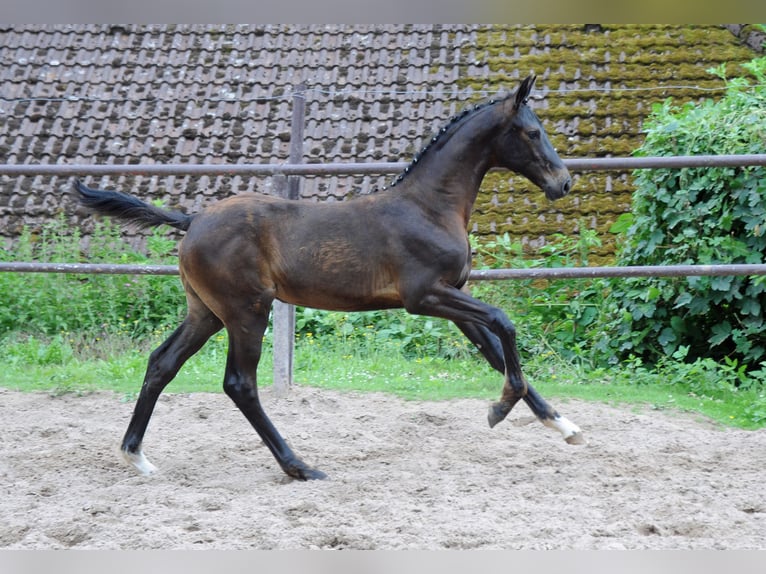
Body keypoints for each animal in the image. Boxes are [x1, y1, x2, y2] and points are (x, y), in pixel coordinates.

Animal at [75, 75, 584, 482]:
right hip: (247, 310)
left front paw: (564, 426)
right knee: (239, 383)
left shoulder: (451, 296)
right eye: (533, 131)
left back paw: (137, 457)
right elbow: (504, 322)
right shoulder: (425, 296)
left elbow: (494, 350)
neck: (429, 207)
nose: (563, 184)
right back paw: (300, 467)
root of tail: (192, 219)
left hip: (206, 312)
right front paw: (500, 408)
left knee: (162, 363)